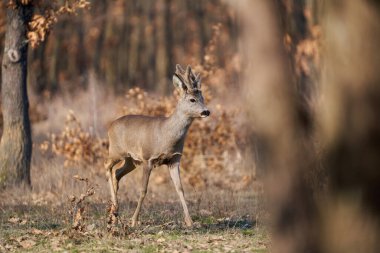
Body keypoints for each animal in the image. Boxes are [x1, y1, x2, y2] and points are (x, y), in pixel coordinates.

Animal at [105, 64, 209, 226]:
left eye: (202, 98)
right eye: (192, 99)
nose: (206, 111)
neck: (167, 135)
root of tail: (110, 126)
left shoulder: (174, 160)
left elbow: (180, 189)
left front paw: (190, 222)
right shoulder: (148, 158)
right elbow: (143, 190)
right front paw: (134, 221)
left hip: (131, 160)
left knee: (117, 173)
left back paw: (114, 215)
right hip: (116, 151)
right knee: (107, 167)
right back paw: (114, 209)